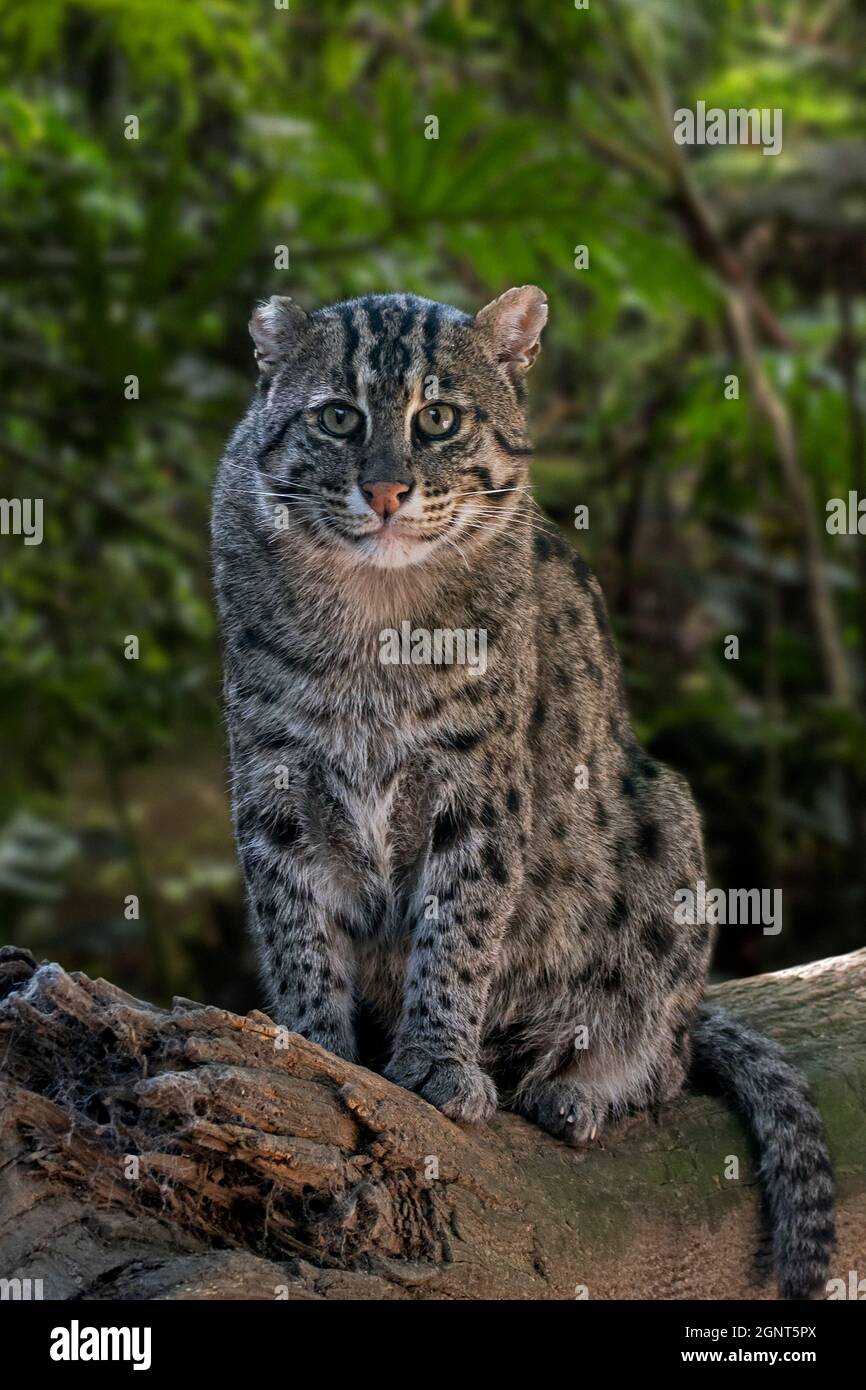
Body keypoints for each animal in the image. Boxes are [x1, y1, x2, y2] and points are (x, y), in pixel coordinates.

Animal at [209, 284, 834, 1301]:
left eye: (438, 419)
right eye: (338, 417)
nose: (386, 491)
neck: (376, 611)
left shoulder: (483, 789)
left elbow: (458, 931)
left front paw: (437, 1060)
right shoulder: (274, 783)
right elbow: (296, 929)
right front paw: (316, 1048)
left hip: (665, 818)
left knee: (666, 1050)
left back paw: (580, 1086)